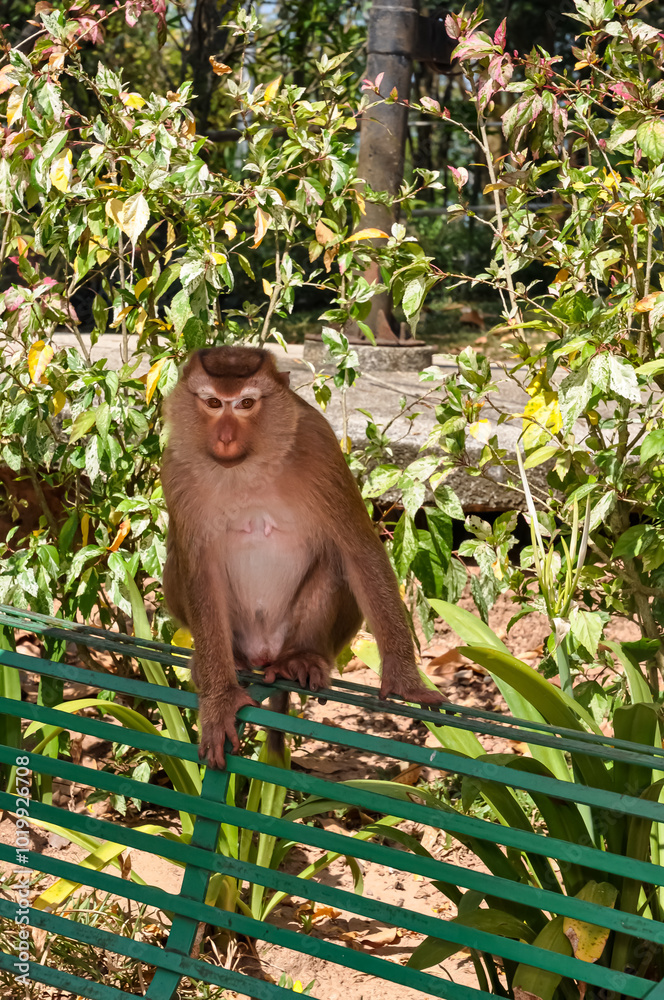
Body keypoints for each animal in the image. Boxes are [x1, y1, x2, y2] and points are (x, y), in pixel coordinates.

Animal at [161, 346, 443, 768]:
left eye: (246, 404)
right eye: (212, 403)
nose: (225, 437)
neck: (248, 466)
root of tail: (265, 652)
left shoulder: (319, 444)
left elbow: (359, 550)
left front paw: (405, 679)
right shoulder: (175, 468)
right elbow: (199, 571)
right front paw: (220, 698)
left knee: (336, 561)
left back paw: (301, 658)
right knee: (178, 564)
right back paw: (232, 661)